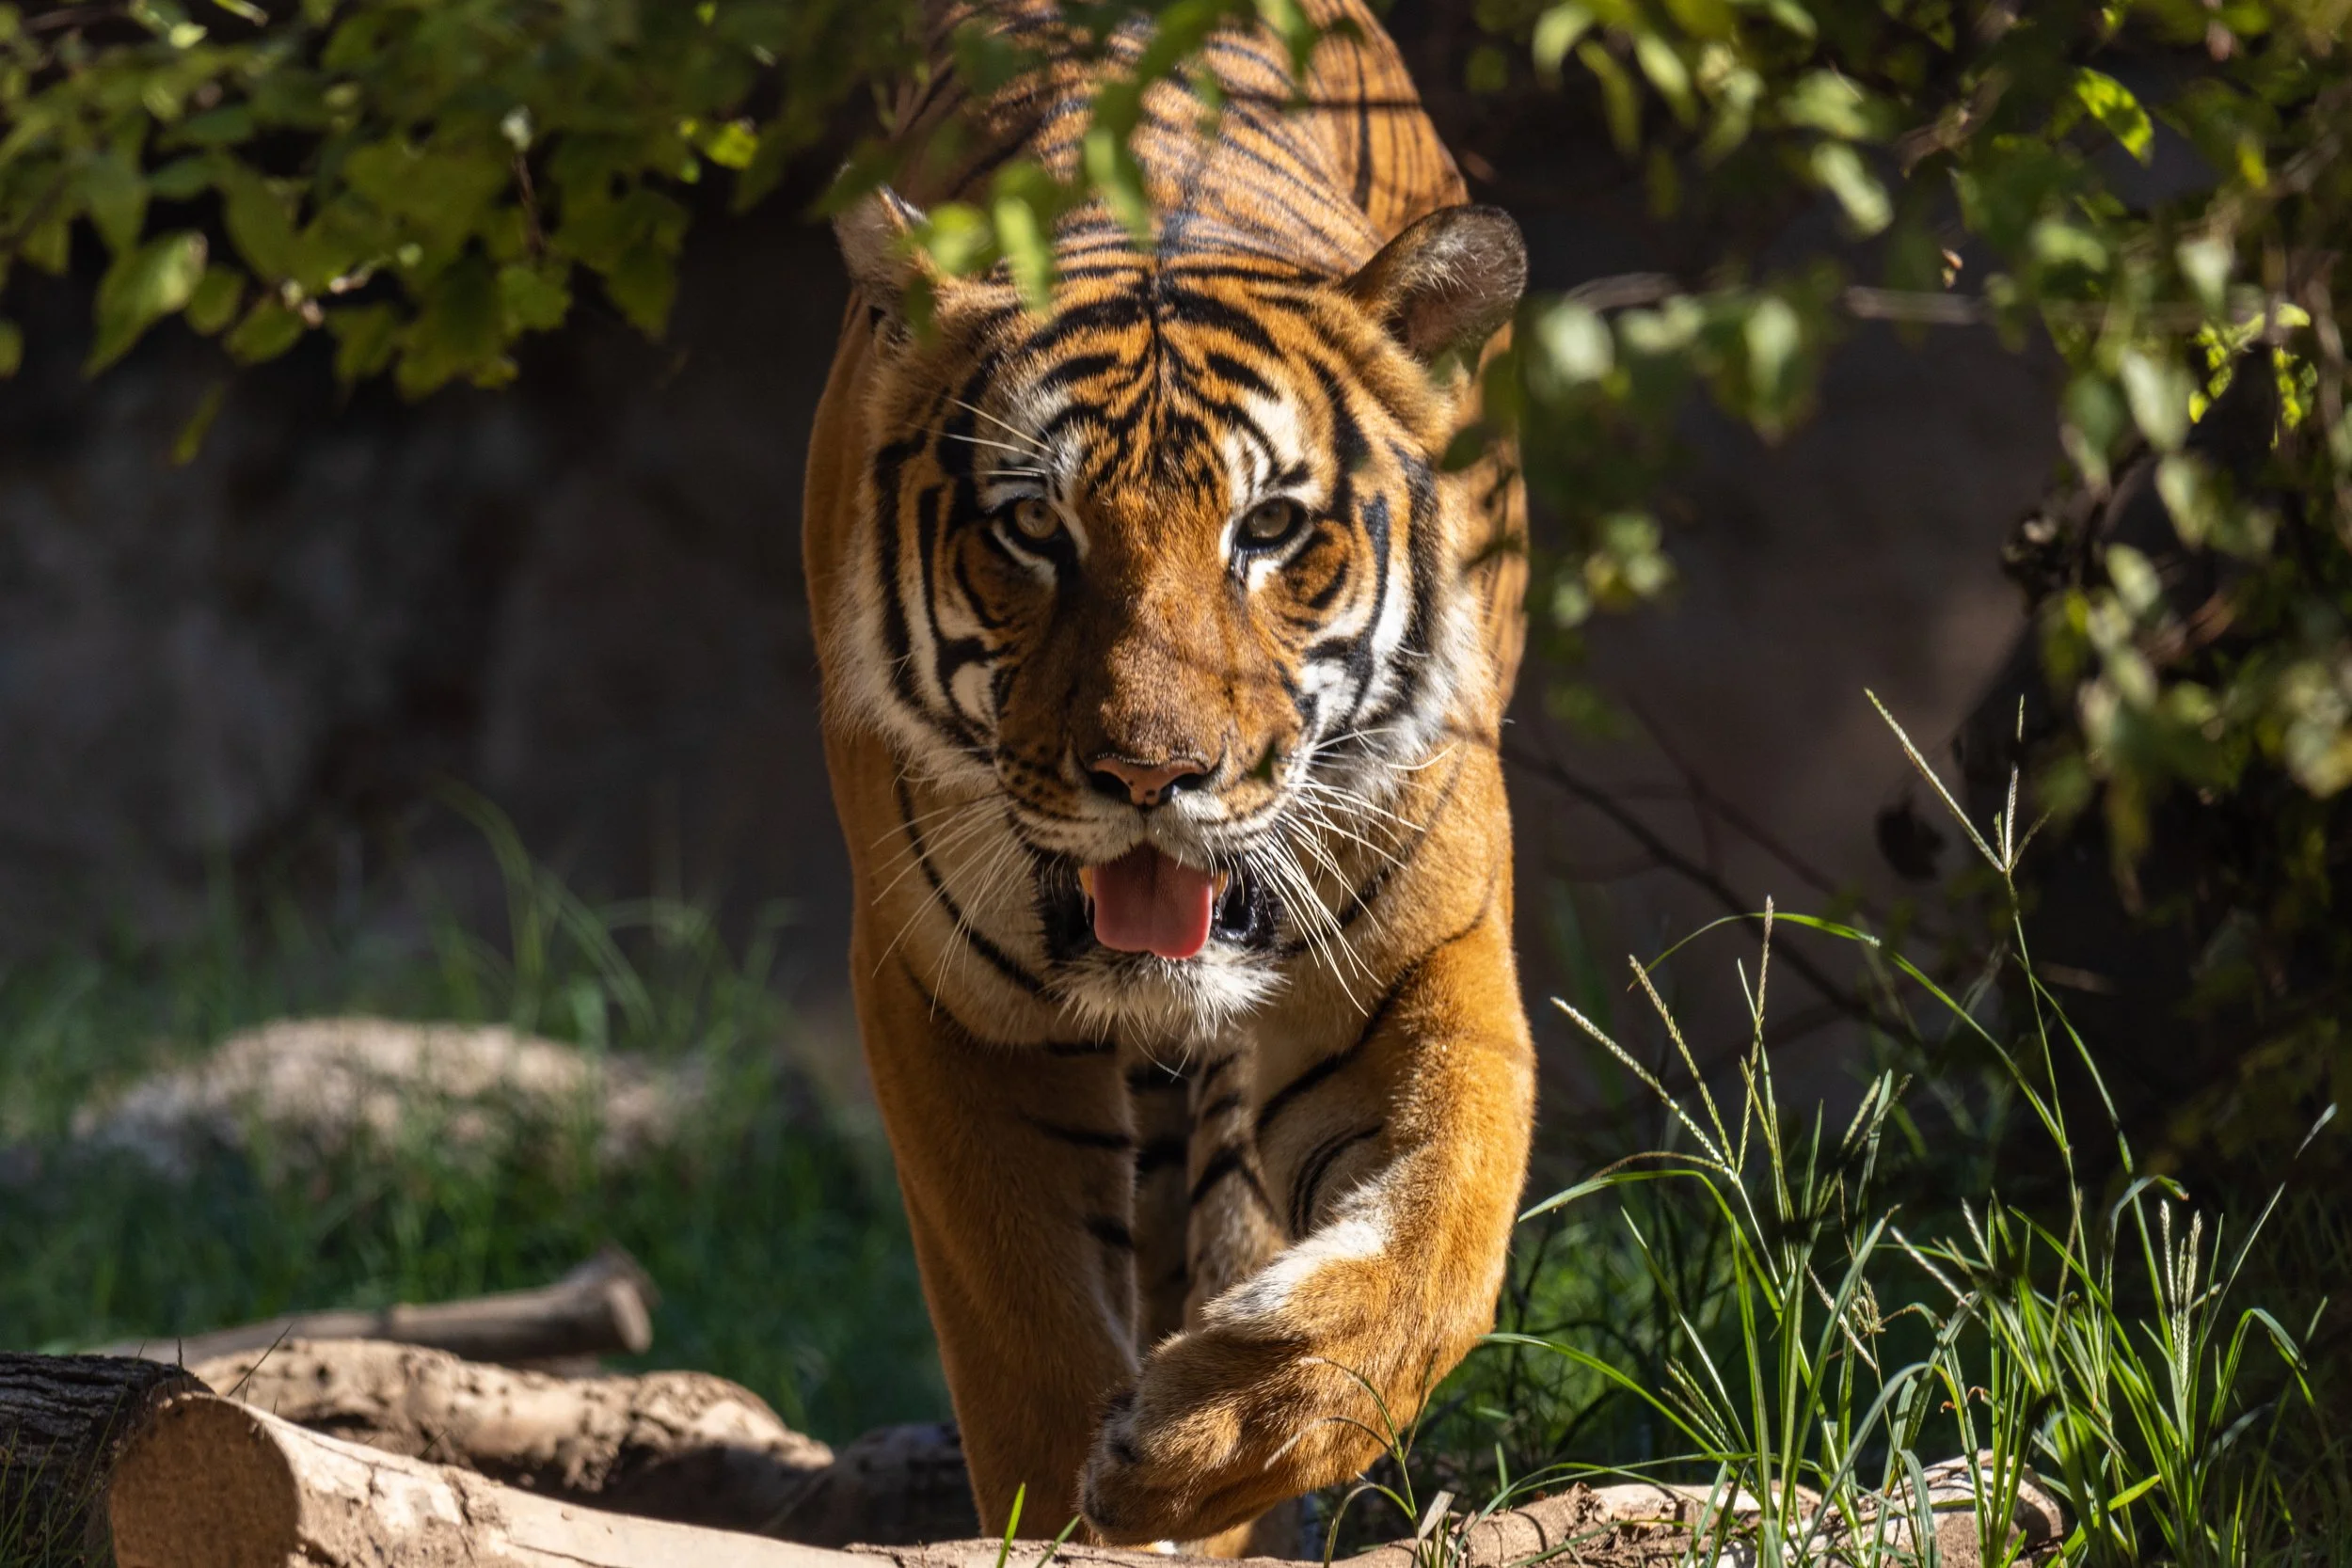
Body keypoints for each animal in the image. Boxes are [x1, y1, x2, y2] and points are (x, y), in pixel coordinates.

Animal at [800, 0, 1535, 1550]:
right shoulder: (945, 1004)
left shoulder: (1421, 957)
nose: (1152, 772)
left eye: (1269, 528)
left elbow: (1434, 1260)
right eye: (1033, 528)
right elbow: (1022, 1339)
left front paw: (1203, 1443)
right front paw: (1080, 1513)